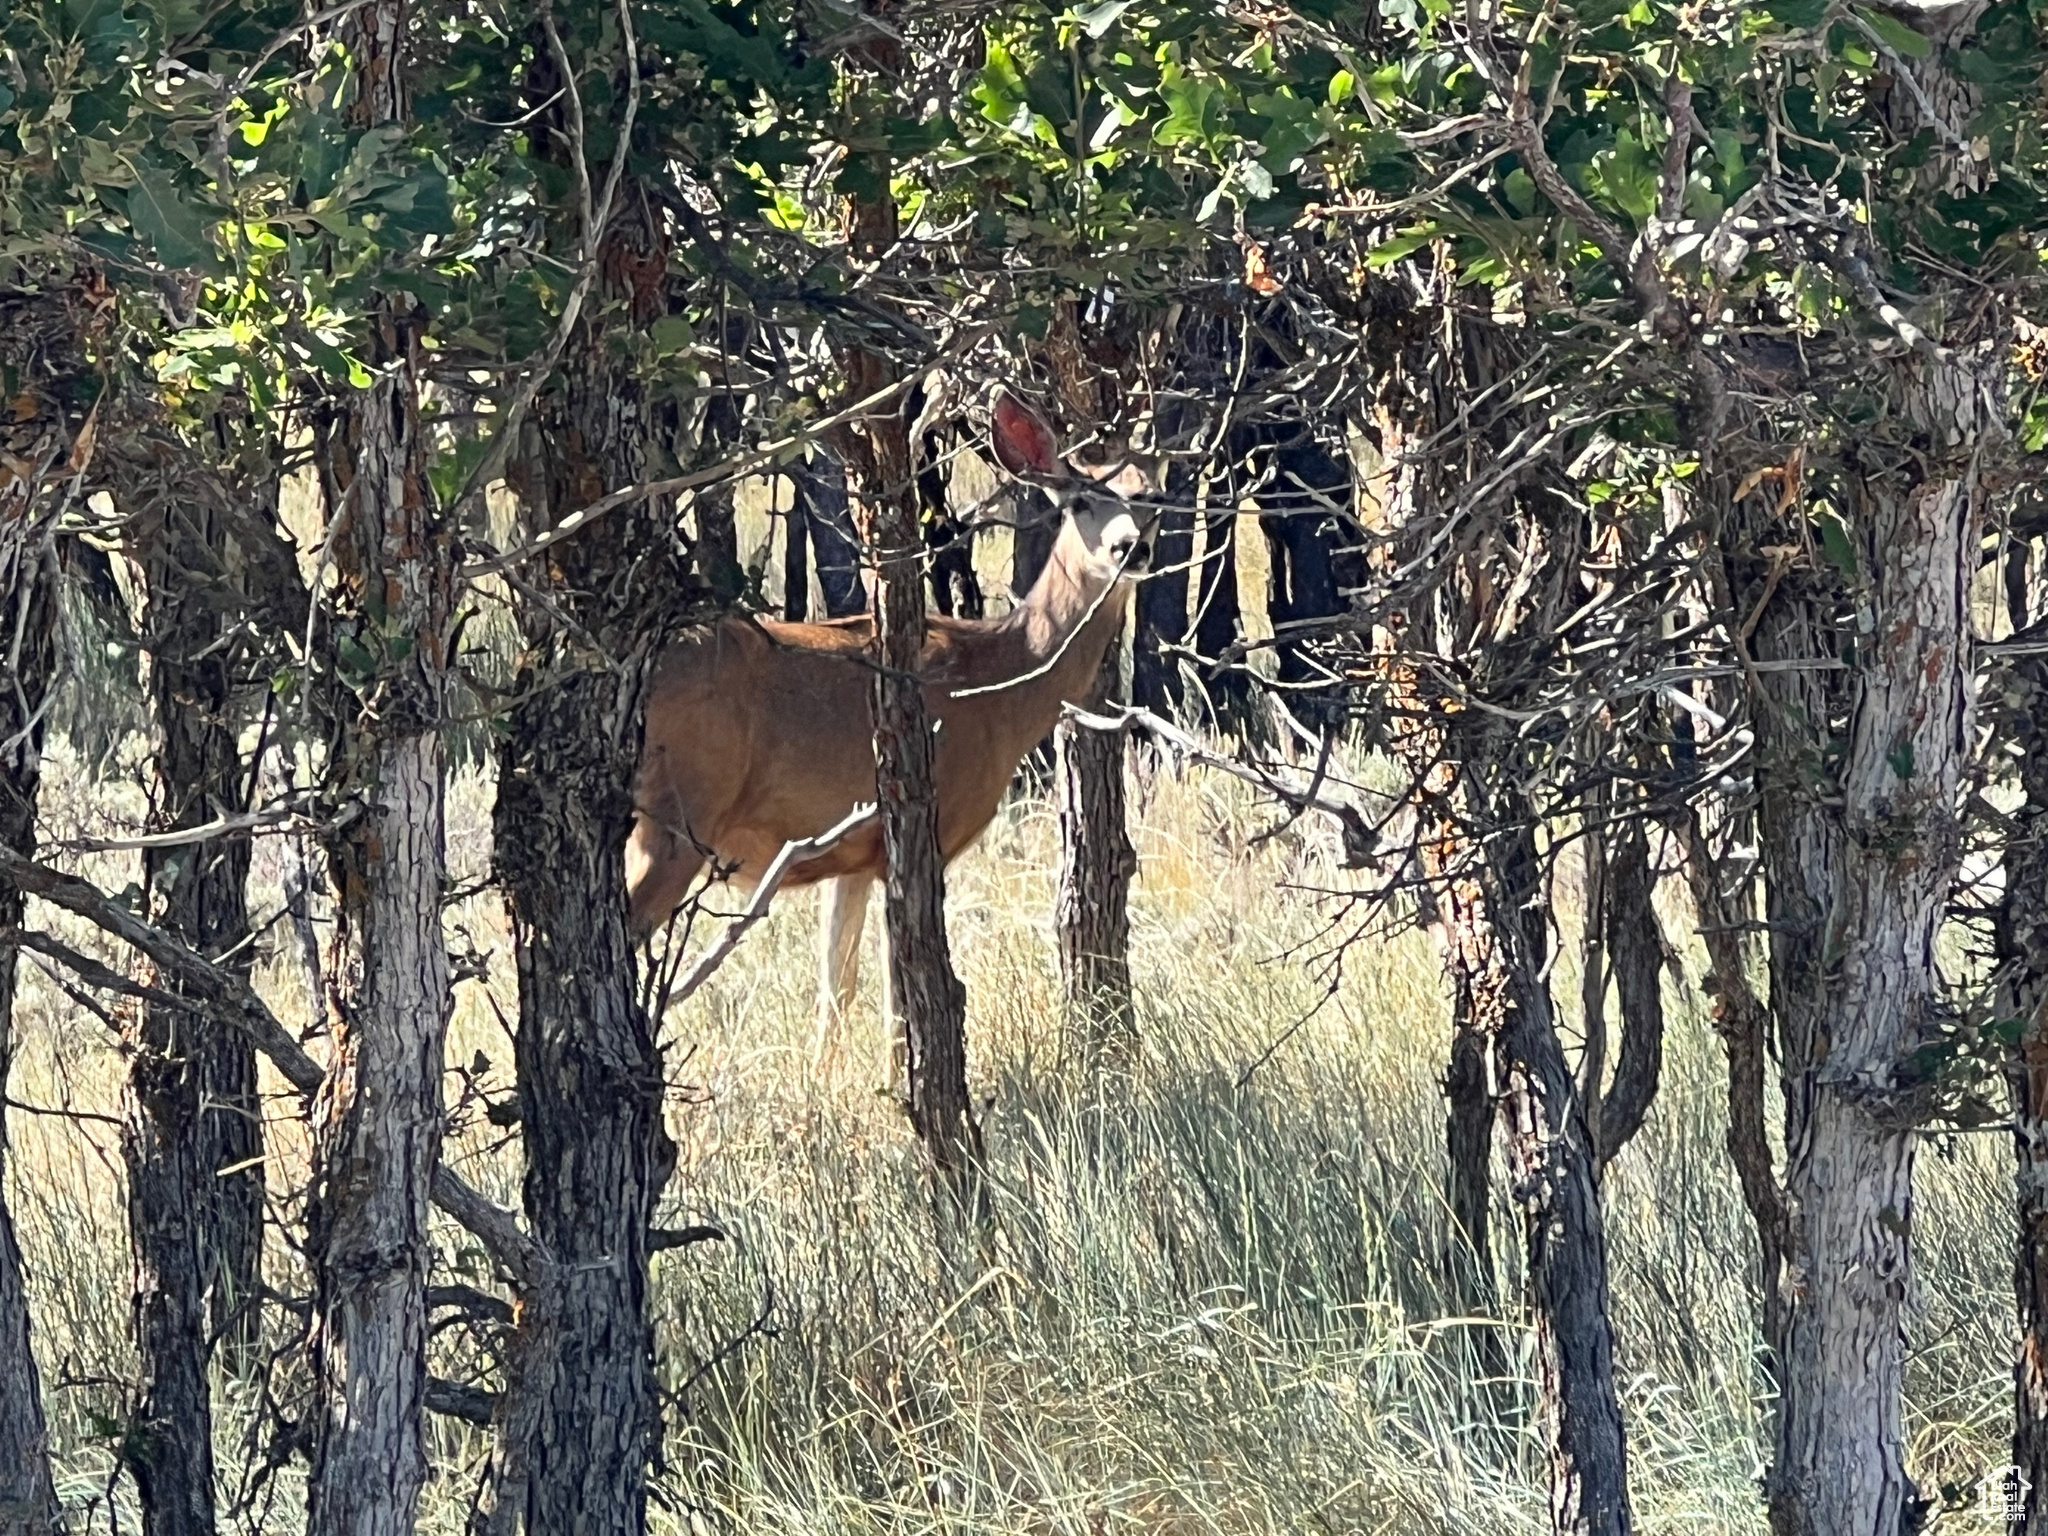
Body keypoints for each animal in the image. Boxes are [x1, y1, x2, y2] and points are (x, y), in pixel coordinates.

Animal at [625, 389, 1157, 1038]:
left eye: (1151, 496)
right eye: (1080, 500)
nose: (1131, 548)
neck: (999, 686)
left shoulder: (848, 852)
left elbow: (835, 993)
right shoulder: (919, 834)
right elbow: (898, 1002)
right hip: (679, 813)